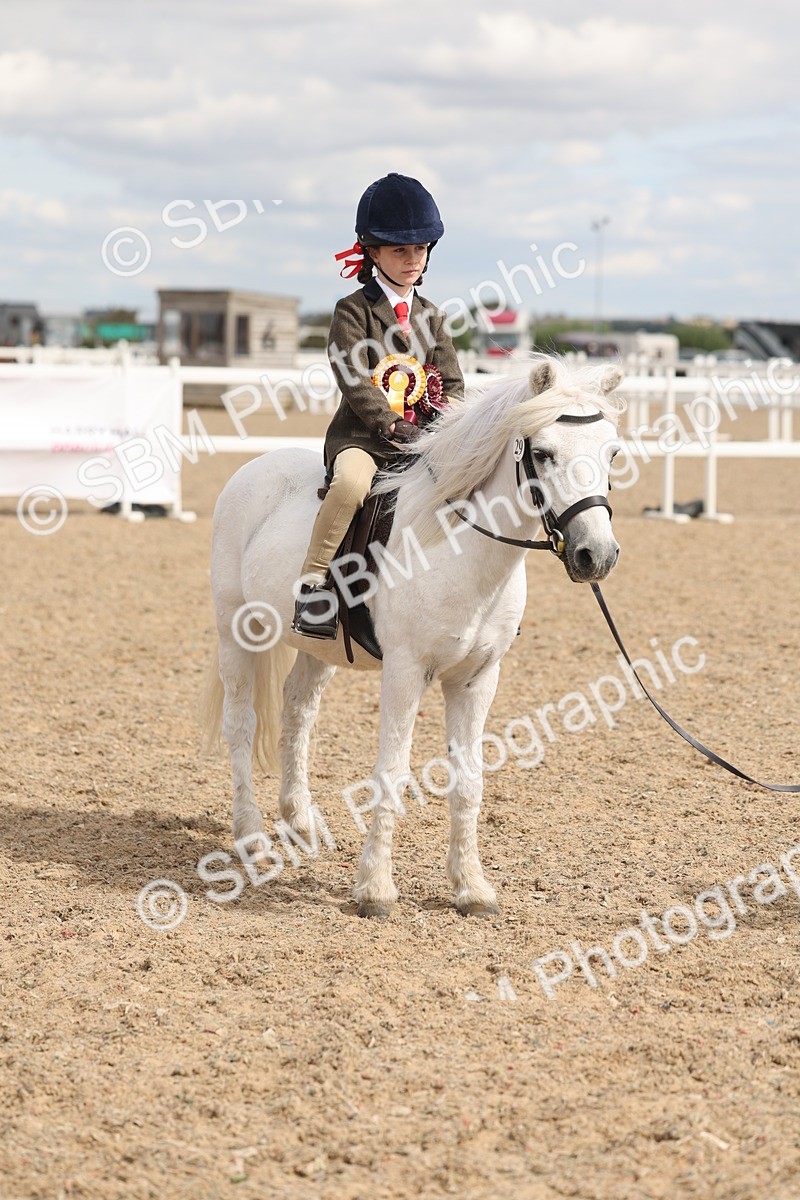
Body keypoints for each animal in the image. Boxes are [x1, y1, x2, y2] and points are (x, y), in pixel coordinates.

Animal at [201, 355, 625, 918]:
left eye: (612, 453)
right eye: (543, 452)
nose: (595, 556)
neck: (458, 548)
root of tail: (255, 467)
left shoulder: (477, 679)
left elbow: (469, 781)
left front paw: (472, 888)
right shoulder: (405, 673)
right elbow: (391, 774)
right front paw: (375, 889)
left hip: (318, 648)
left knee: (298, 711)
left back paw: (300, 823)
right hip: (237, 630)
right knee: (241, 722)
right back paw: (251, 838)